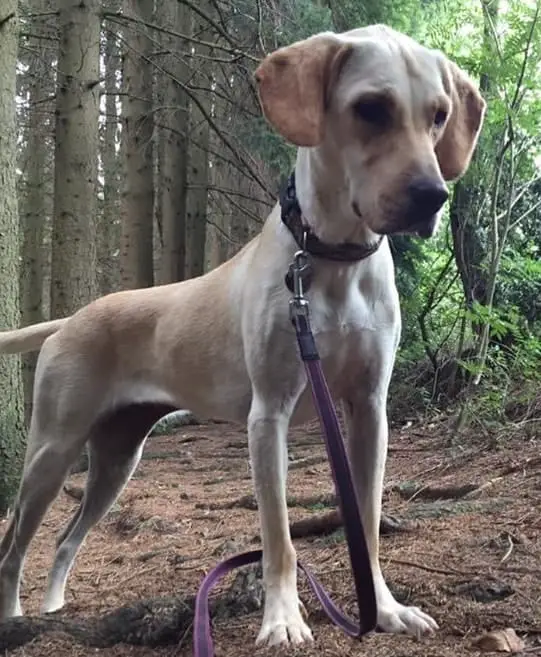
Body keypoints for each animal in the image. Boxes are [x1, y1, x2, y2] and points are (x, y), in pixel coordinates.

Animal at [0, 24, 486, 644]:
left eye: (440, 115)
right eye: (371, 108)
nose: (432, 196)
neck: (332, 259)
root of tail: (72, 318)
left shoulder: (369, 409)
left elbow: (369, 524)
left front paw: (383, 607)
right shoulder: (268, 416)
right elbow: (278, 537)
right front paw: (282, 618)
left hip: (116, 458)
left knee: (65, 539)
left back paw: (55, 607)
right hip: (52, 450)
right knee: (14, 545)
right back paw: (14, 612)